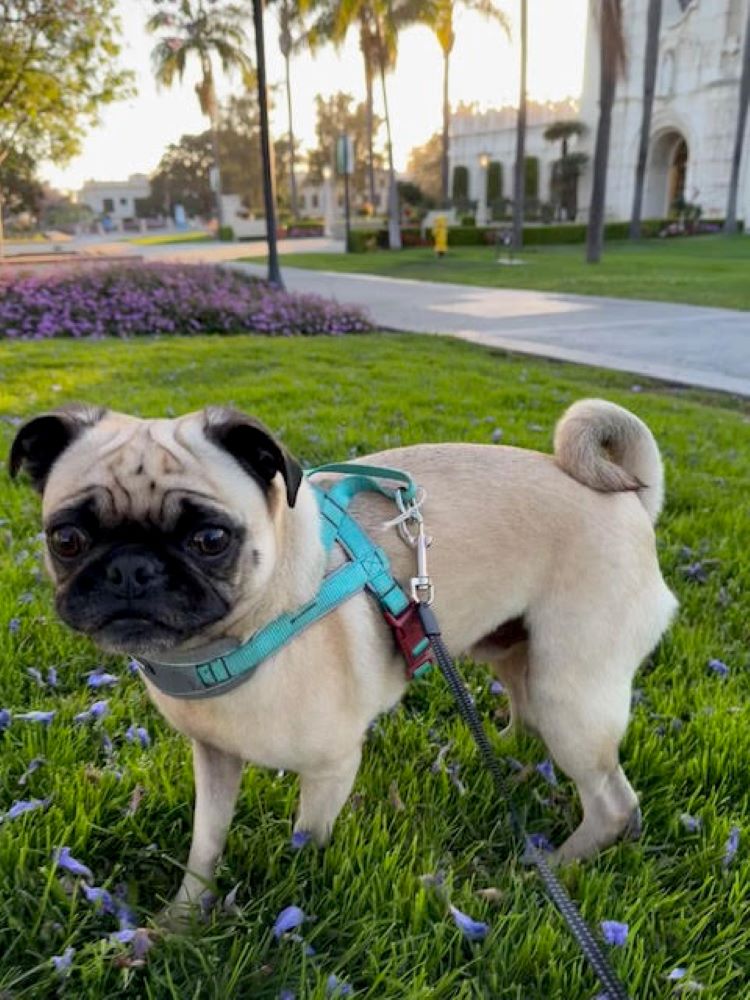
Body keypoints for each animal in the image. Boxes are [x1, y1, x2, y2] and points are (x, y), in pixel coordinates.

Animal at [9, 399, 677, 920]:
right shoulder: (215, 759)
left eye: (210, 540)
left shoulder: (330, 770)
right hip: (514, 653)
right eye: (66, 540)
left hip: (570, 692)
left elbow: (305, 841)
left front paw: (291, 898)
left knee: (613, 801)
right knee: (525, 711)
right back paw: (502, 757)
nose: (132, 568)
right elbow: (206, 844)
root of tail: (631, 501)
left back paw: (549, 867)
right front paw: (182, 919)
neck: (229, 644)